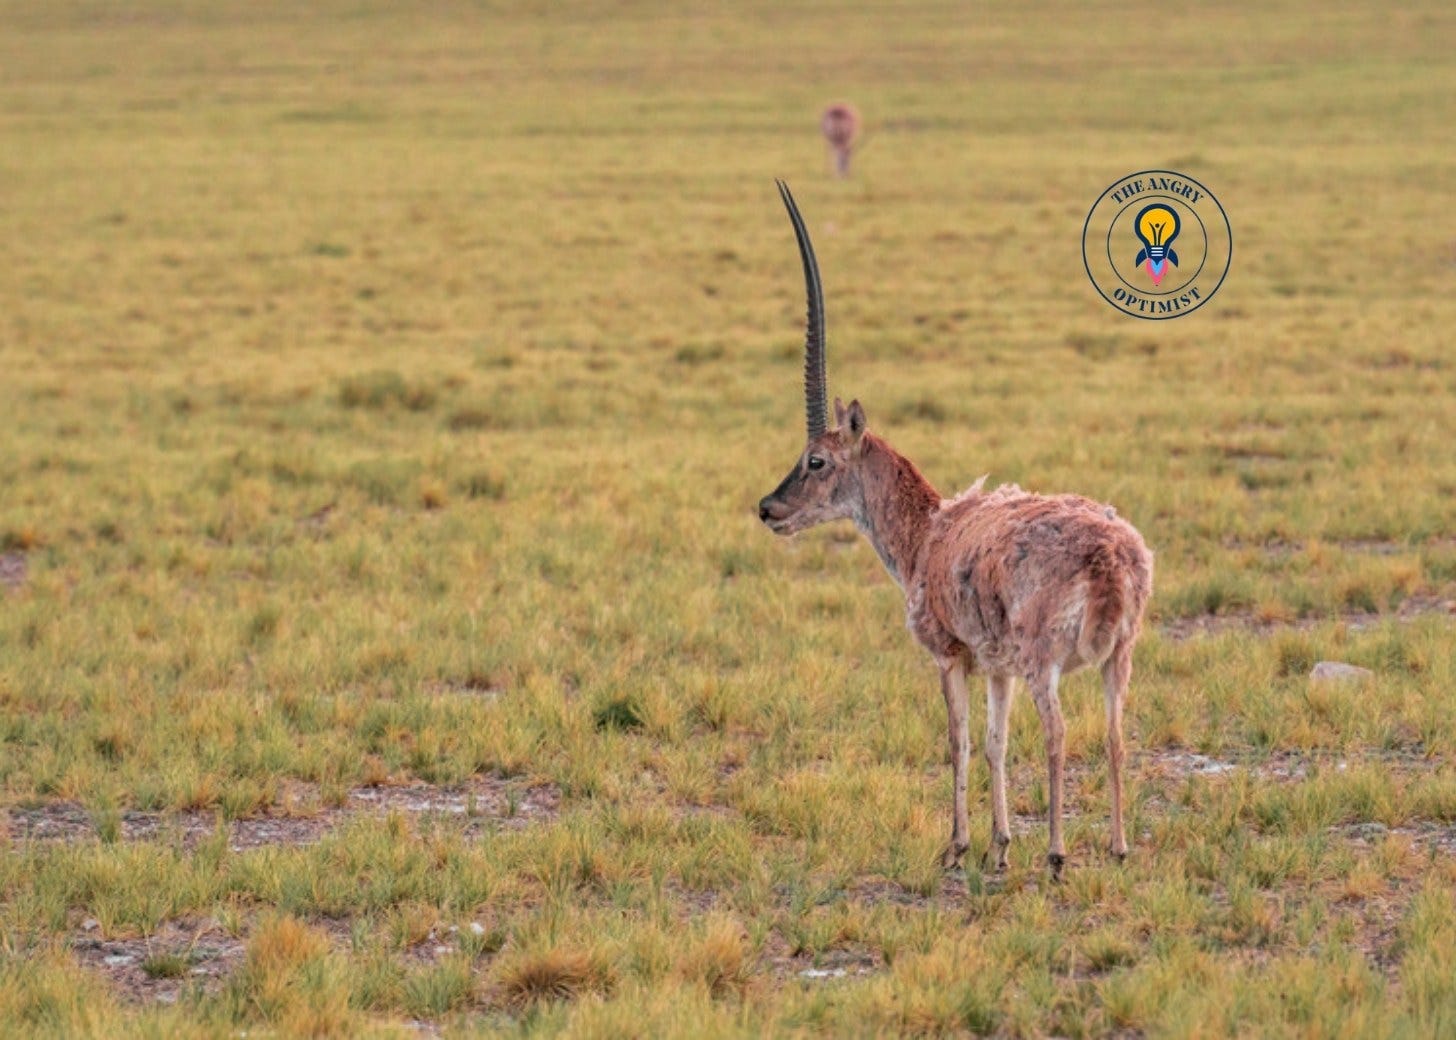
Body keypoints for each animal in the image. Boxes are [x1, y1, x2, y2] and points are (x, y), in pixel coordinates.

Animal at [757, 182, 1153, 877]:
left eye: (817, 460)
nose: (768, 509)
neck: (929, 534)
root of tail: (1111, 555)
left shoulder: (950, 656)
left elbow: (959, 741)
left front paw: (958, 845)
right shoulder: (995, 667)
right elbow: (996, 742)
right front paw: (999, 848)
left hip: (1045, 661)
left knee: (1059, 733)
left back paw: (1057, 855)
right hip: (1117, 658)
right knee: (1113, 735)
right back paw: (1117, 845)